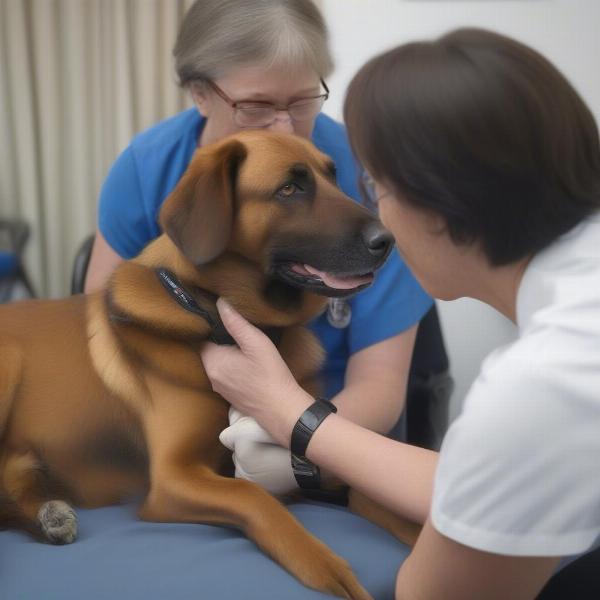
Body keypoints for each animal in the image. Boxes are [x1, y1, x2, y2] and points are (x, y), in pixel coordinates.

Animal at [0, 131, 412, 600]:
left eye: (333, 176)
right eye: (290, 189)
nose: (388, 240)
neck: (220, 320)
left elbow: (366, 487)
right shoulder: (172, 478)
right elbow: (254, 498)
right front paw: (327, 566)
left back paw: (49, 516)